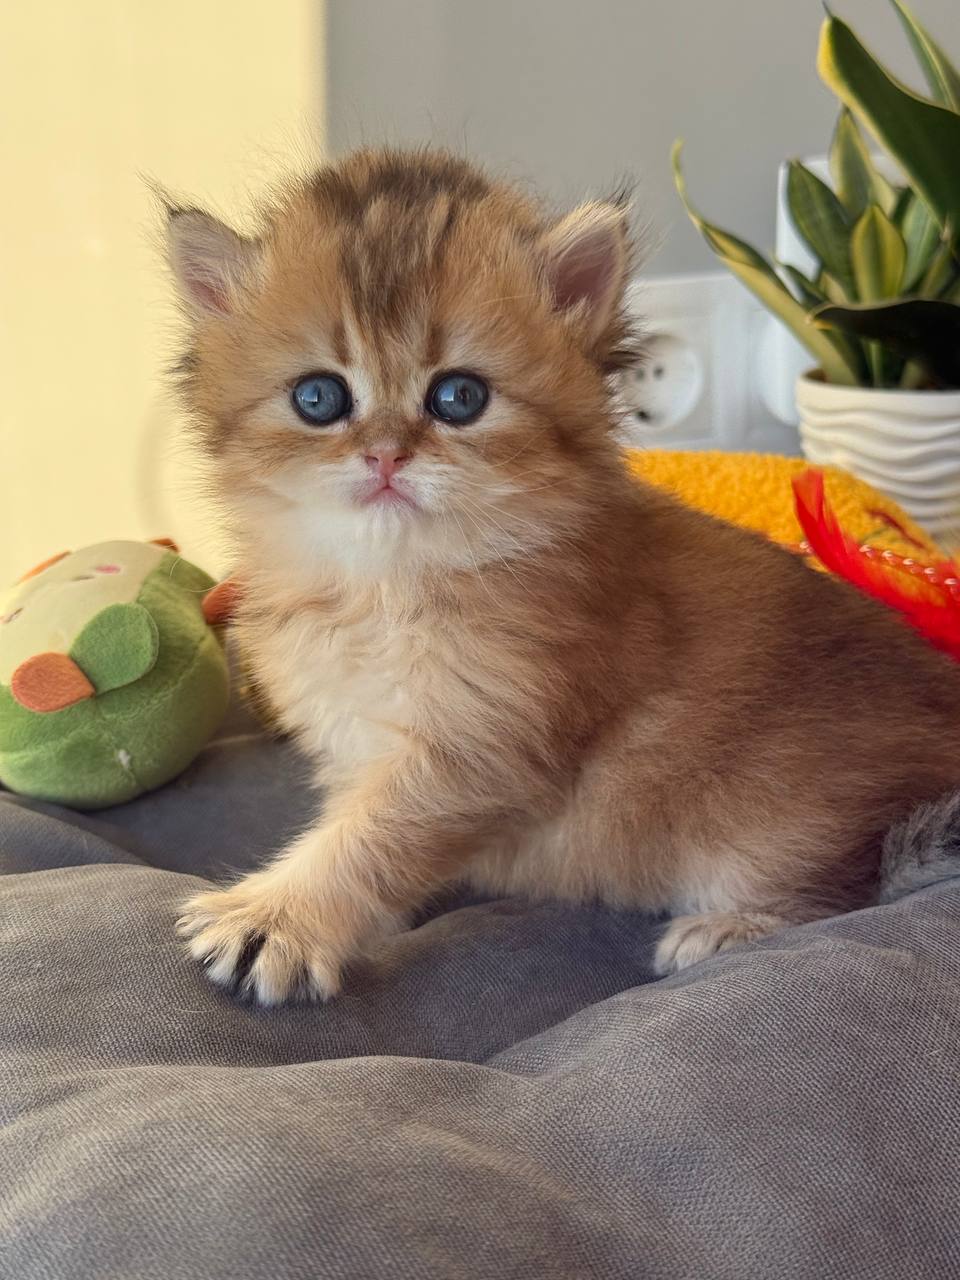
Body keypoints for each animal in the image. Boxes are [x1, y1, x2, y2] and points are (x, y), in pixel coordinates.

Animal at [169, 147, 960, 1005]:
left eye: (459, 396)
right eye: (319, 397)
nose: (384, 456)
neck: (387, 584)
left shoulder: (483, 750)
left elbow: (370, 841)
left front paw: (278, 918)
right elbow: (362, 829)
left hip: (781, 812)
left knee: (847, 886)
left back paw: (728, 927)